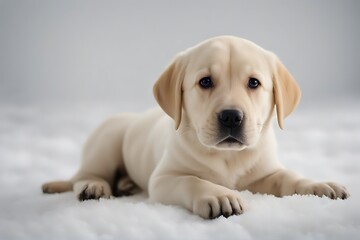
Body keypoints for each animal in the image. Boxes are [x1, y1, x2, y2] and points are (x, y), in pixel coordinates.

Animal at [43, 36, 348, 219]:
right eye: (205, 82)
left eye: (254, 83)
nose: (231, 117)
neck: (228, 157)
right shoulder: (162, 179)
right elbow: (191, 180)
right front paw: (218, 195)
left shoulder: (266, 172)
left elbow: (289, 177)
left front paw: (318, 185)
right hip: (105, 144)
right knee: (85, 175)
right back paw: (93, 186)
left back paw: (127, 185)